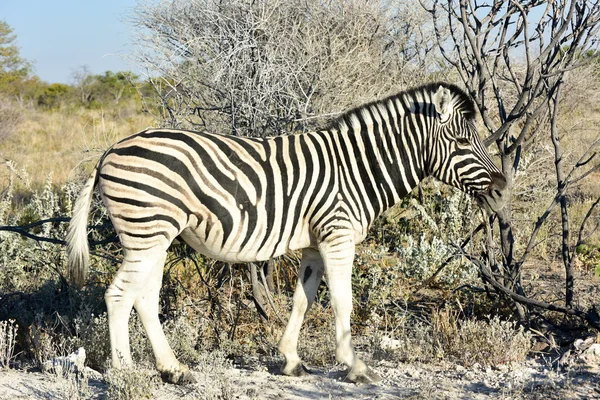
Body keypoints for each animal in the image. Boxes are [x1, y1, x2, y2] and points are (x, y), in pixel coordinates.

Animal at [65, 82, 506, 384]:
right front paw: (355, 366)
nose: (503, 189)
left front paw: (291, 360)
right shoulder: (337, 236)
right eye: (462, 141)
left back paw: (173, 369)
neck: (358, 169)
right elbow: (342, 302)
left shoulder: (313, 245)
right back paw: (126, 373)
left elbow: (302, 300)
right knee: (119, 295)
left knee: (143, 297)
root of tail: (111, 150)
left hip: (156, 237)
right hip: (147, 233)